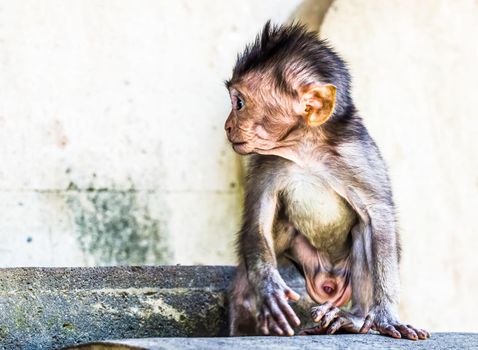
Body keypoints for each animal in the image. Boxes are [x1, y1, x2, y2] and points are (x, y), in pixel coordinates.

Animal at [224, 21, 430, 340]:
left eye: (240, 103)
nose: (227, 126)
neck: (305, 149)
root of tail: (327, 282)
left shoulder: (358, 156)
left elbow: (379, 218)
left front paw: (386, 316)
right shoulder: (264, 162)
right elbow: (257, 217)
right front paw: (267, 288)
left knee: (362, 230)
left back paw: (354, 319)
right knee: (279, 227)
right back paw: (245, 311)